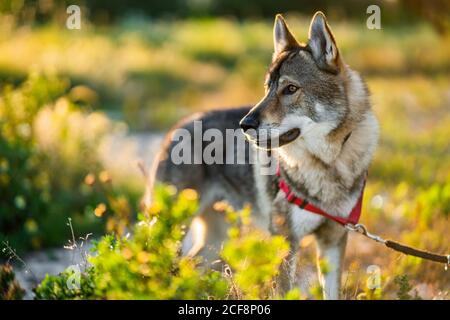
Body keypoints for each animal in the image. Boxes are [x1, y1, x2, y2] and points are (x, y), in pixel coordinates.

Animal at [142, 11, 378, 300]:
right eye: (267, 88)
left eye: (290, 89)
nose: (245, 124)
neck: (328, 164)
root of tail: (177, 127)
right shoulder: (286, 242)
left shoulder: (333, 242)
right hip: (172, 229)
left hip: (214, 240)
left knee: (189, 265)